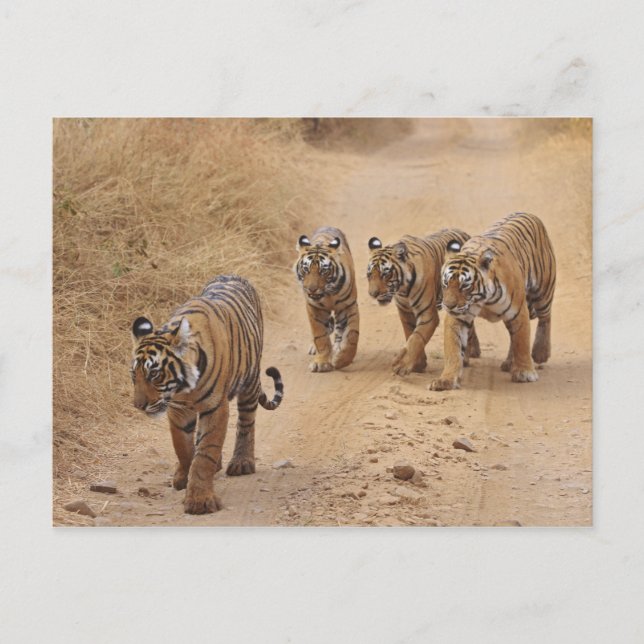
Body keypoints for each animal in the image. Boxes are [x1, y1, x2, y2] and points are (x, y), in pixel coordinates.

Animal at [130, 275, 283, 515]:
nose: (138, 405)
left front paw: (199, 500)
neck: (184, 388)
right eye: (133, 375)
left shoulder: (215, 407)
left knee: (246, 423)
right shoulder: (178, 410)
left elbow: (205, 454)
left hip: (249, 382)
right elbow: (183, 448)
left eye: (154, 374)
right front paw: (183, 477)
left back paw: (242, 462)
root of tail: (233, 275)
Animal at [294, 226, 359, 372]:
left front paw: (341, 360)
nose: (311, 289)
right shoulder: (315, 308)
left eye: (323, 271)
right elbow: (320, 336)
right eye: (305, 269)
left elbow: (352, 335)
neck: (328, 293)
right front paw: (322, 362)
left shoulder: (348, 306)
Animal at [367, 229, 480, 376]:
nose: (373, 294)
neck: (403, 289)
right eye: (370, 274)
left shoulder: (428, 315)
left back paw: (466, 358)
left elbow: (417, 338)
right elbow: (410, 334)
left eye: (385, 274)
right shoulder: (405, 312)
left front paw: (403, 365)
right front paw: (418, 364)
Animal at [430, 212, 556, 391]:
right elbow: (453, 349)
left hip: (543, 290)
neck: (483, 300)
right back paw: (510, 363)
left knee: (545, 317)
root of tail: (528, 213)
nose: (448, 306)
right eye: (446, 283)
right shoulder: (458, 317)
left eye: (464, 286)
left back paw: (540, 353)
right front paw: (446, 380)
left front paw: (524, 373)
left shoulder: (519, 311)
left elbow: (522, 342)